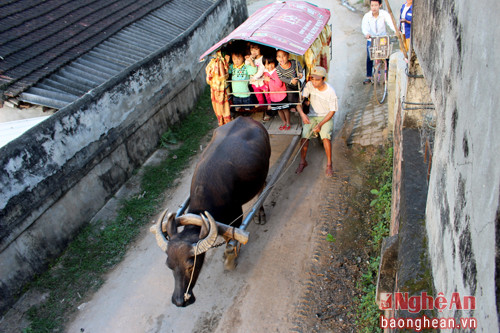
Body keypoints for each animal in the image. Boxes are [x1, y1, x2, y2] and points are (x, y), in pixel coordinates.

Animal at [151, 116, 270, 306]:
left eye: (191, 265)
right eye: (169, 265)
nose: (179, 301)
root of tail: (246, 118)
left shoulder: (236, 217)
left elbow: (231, 240)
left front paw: (229, 259)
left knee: (262, 188)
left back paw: (260, 213)